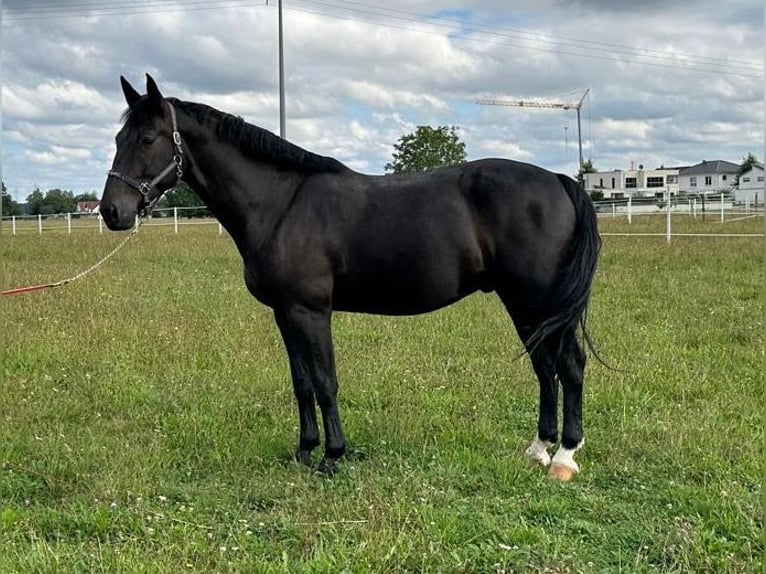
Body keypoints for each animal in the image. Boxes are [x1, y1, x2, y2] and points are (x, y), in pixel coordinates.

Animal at [100, 75, 600, 482]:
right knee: (545, 368)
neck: (280, 203)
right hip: (525, 306)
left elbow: (325, 382)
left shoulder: (311, 311)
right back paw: (538, 450)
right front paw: (304, 452)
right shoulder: (285, 313)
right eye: (119, 136)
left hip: (537, 301)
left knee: (569, 366)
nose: (112, 212)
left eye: (147, 138)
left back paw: (564, 458)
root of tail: (559, 181)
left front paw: (332, 457)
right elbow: (301, 382)